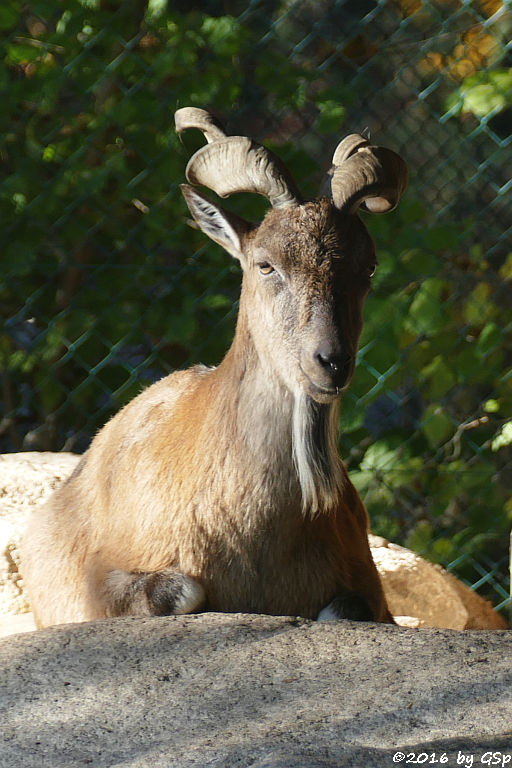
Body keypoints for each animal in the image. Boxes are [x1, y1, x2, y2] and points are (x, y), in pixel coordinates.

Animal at [22, 108, 408, 628]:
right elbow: (181, 591)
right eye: (265, 264)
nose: (331, 362)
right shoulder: (102, 582)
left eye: (367, 267)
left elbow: (347, 608)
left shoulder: (370, 591)